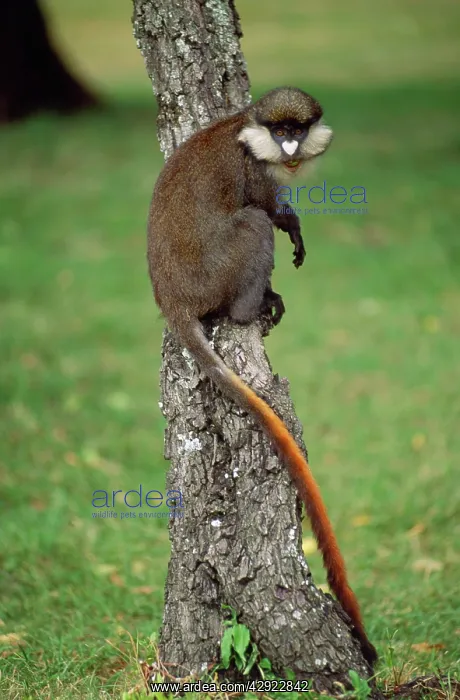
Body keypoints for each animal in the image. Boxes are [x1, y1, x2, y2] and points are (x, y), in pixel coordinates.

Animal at [147, 87, 377, 666]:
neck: (243, 128)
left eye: (297, 129)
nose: (291, 148)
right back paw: (250, 309)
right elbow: (266, 207)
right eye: (280, 132)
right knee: (250, 224)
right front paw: (289, 223)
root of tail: (172, 300)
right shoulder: (254, 170)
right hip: (215, 273)